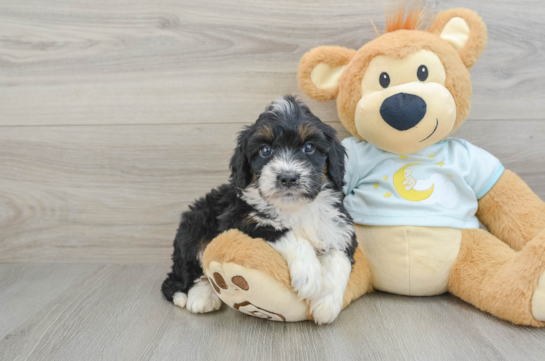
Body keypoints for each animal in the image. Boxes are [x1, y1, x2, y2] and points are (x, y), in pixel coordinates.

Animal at [162, 95, 356, 324]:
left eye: (309, 147)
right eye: (265, 150)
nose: (288, 177)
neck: (294, 207)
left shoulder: (340, 227)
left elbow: (339, 258)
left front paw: (327, 303)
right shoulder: (241, 218)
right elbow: (286, 232)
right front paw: (309, 275)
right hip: (195, 224)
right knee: (191, 269)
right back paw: (199, 296)